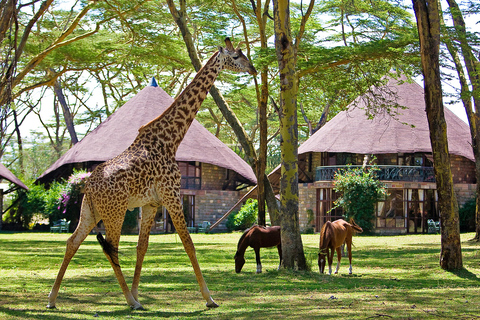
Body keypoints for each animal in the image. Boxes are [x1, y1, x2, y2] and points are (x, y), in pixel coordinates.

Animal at [47, 37, 258, 310]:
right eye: (236, 56)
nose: (253, 69)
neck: (171, 140)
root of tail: (89, 186)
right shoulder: (172, 195)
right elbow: (188, 243)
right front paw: (209, 298)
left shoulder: (151, 203)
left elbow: (142, 247)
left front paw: (137, 292)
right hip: (115, 212)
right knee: (111, 248)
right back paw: (129, 302)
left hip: (90, 211)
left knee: (73, 241)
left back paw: (52, 299)